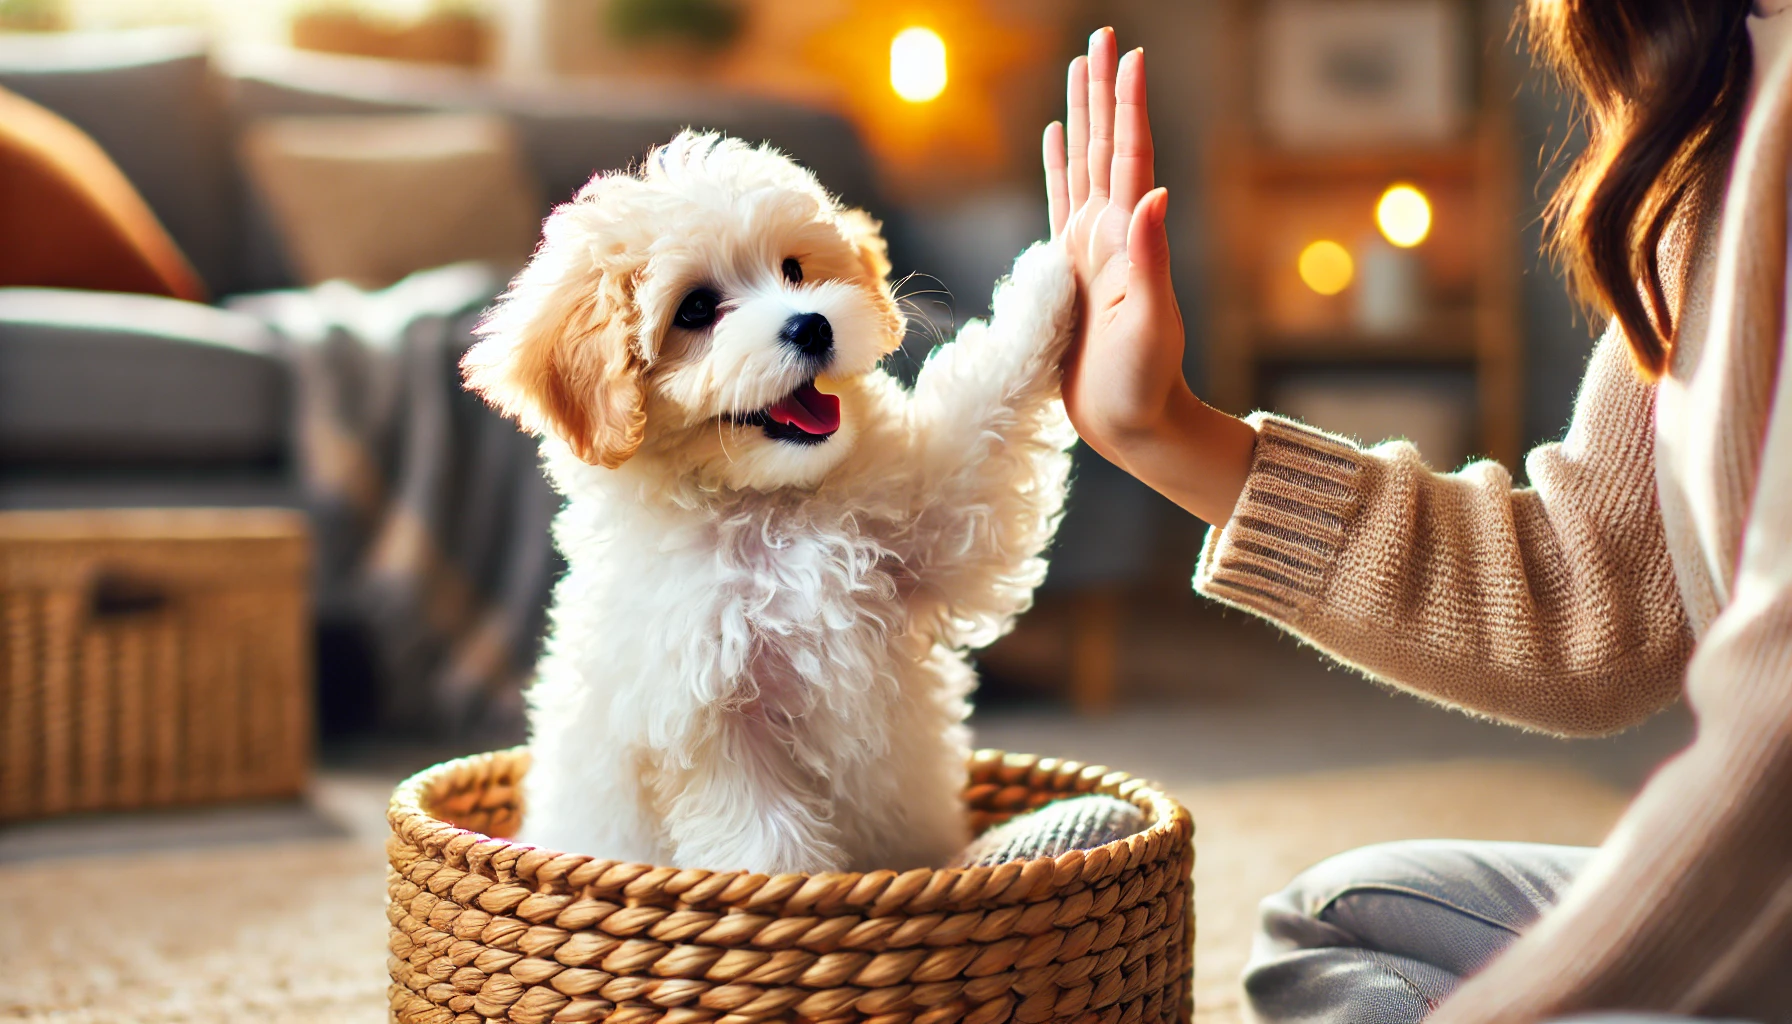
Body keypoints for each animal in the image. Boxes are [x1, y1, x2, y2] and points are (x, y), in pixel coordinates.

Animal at [465, 131, 1075, 878]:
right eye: (696, 309)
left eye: (793, 269)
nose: (811, 325)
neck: (767, 508)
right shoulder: (708, 719)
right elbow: (766, 839)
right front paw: (801, 894)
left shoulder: (930, 521)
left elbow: (982, 417)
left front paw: (1060, 265)